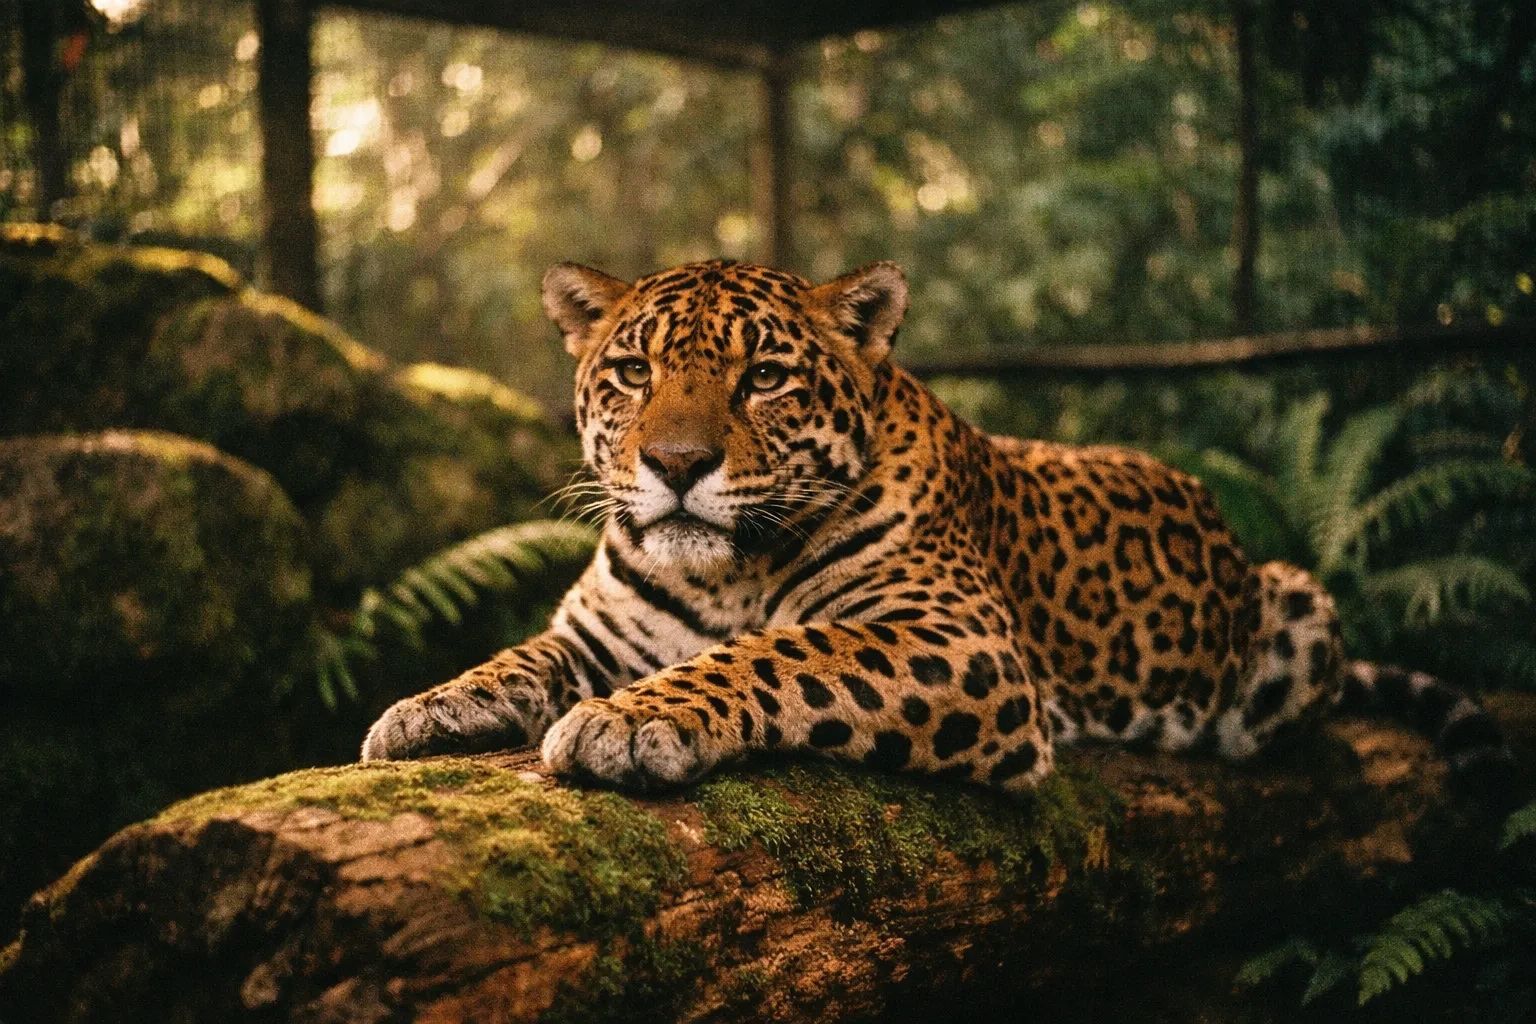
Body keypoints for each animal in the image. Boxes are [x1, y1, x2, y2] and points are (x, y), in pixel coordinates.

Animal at [361, 258, 1509, 794]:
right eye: (634, 372)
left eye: (764, 377)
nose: (677, 466)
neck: (716, 576)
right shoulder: (595, 636)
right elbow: (519, 657)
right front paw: (426, 709)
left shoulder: (957, 642)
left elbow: (777, 654)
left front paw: (635, 721)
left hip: (1297, 607)